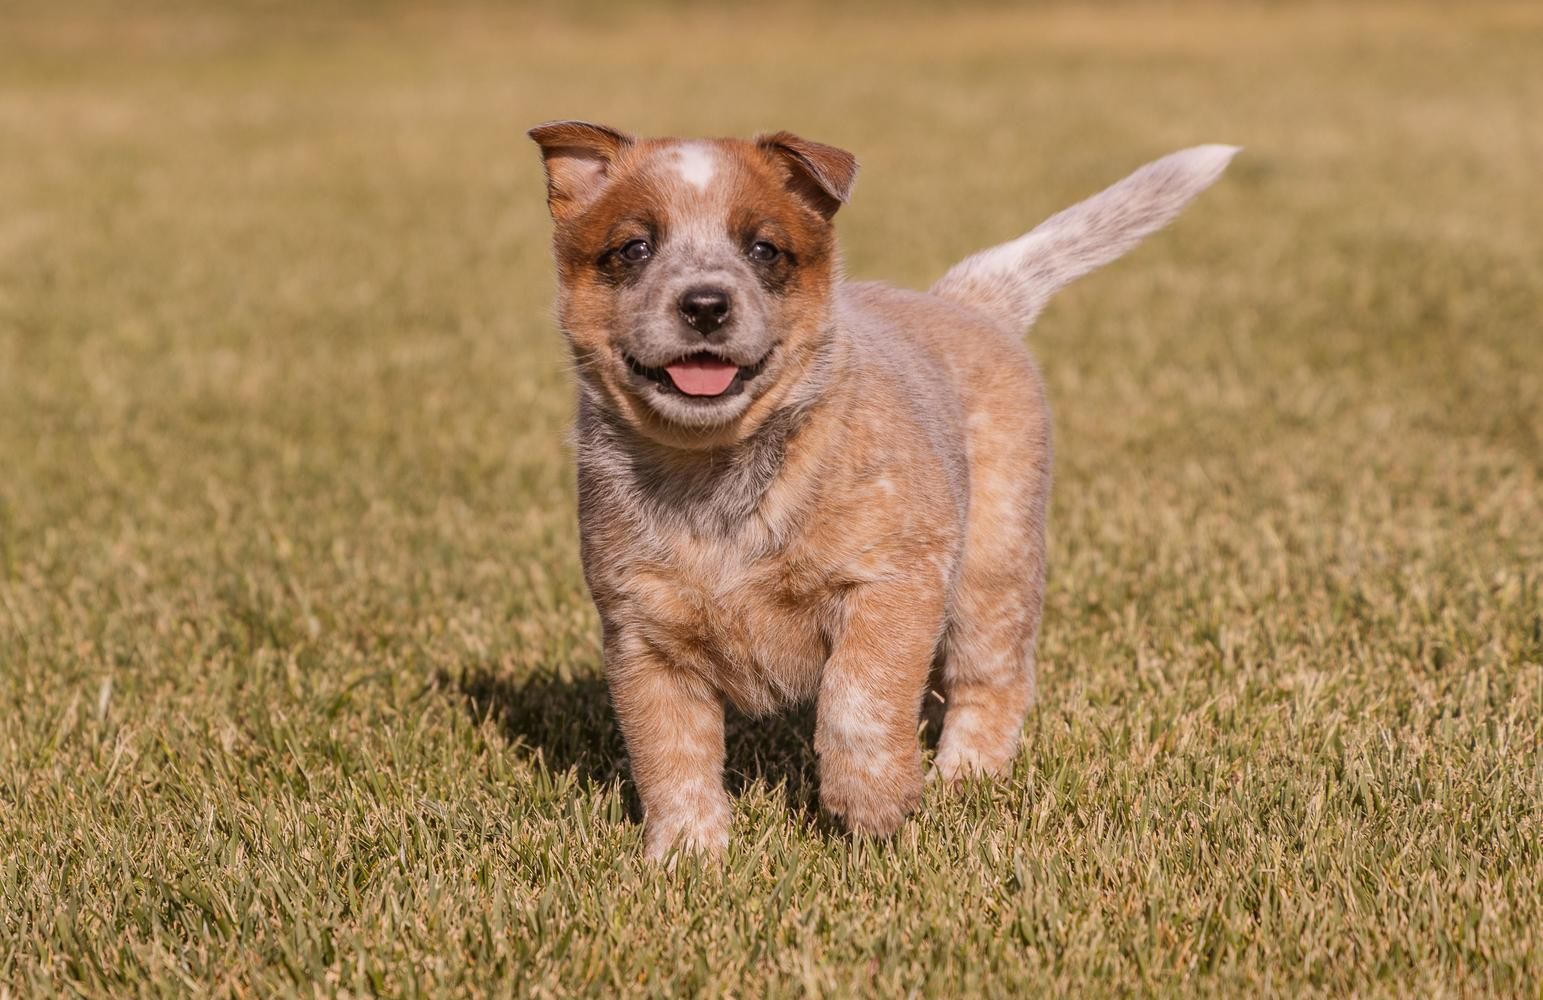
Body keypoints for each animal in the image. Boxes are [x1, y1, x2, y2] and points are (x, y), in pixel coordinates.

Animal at [527, 122, 1228, 858]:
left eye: (762, 249)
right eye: (634, 247)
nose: (706, 304)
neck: (714, 476)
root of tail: (960, 300)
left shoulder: (892, 579)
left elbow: (856, 697)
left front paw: (871, 806)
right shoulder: (642, 633)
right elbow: (669, 751)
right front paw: (688, 855)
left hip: (991, 570)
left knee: (994, 678)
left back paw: (965, 776)